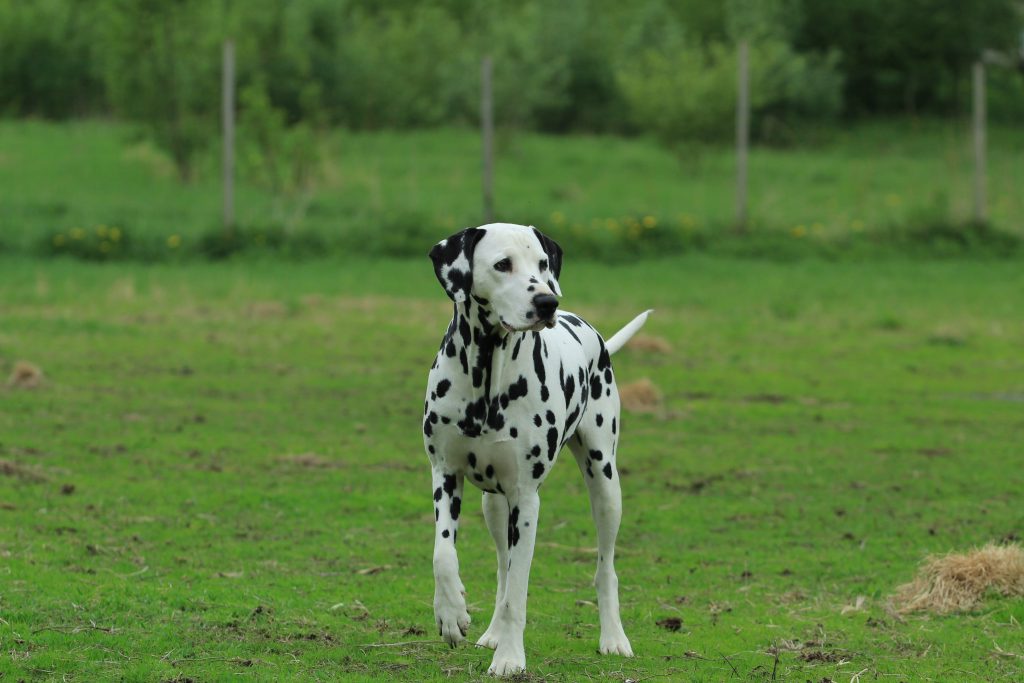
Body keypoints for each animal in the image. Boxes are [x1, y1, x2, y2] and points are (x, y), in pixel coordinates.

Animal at [425, 223, 651, 671]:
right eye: (502, 264)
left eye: (543, 263)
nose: (547, 300)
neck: (487, 375)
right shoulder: (445, 474)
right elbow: (444, 555)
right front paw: (452, 614)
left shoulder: (526, 500)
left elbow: (518, 591)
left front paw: (511, 659)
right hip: (493, 505)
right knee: (501, 566)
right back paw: (493, 633)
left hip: (605, 485)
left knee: (605, 569)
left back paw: (614, 638)